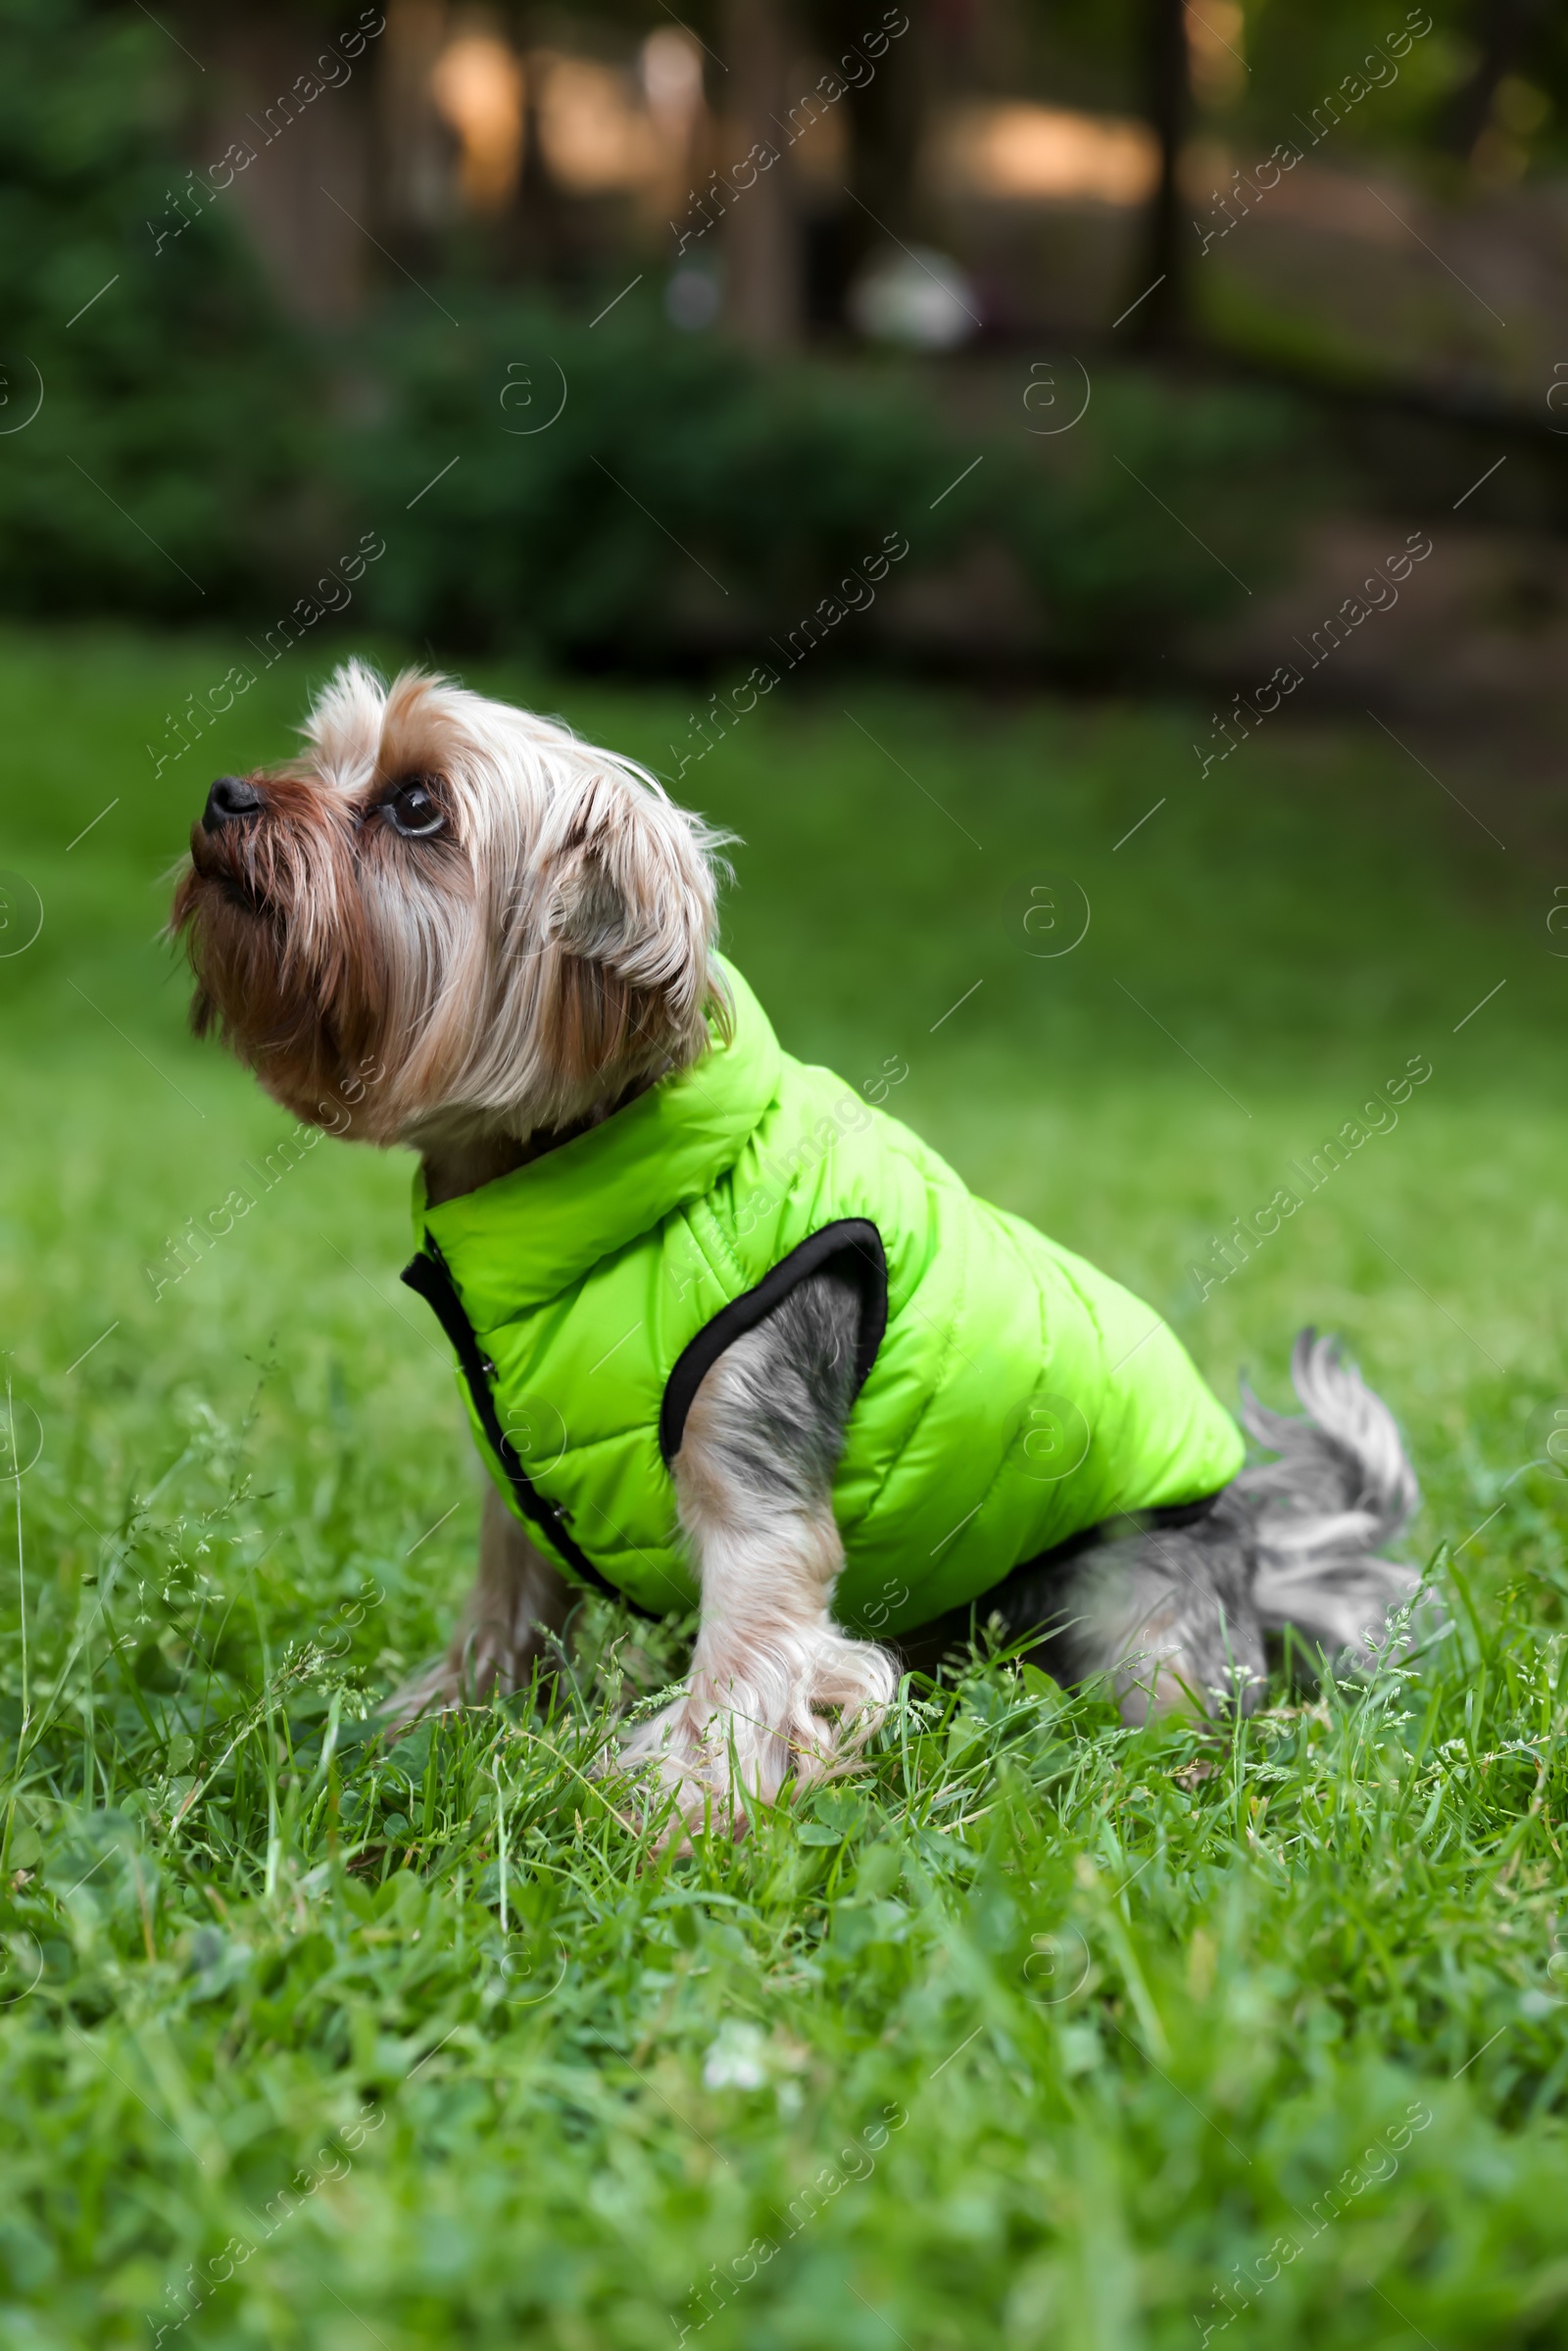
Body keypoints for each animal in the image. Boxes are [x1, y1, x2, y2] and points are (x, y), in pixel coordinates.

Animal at [174, 672, 1419, 1824]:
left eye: (417, 805)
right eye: (317, 754)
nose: (225, 793)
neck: (584, 1188)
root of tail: (1253, 1546)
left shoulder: (752, 1456)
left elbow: (753, 1654)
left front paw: (682, 1810)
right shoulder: (522, 1487)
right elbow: (503, 1615)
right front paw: (433, 1726)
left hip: (1132, 1606)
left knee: (1189, 1706)